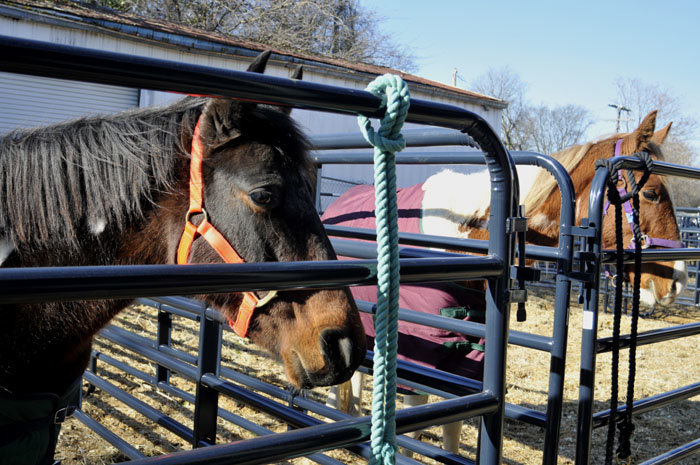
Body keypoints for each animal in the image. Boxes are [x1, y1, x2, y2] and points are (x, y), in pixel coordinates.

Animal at [321, 110, 686, 455]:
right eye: (652, 193)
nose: (679, 280)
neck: (462, 240)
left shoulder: (470, 356)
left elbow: (453, 425)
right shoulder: (419, 354)